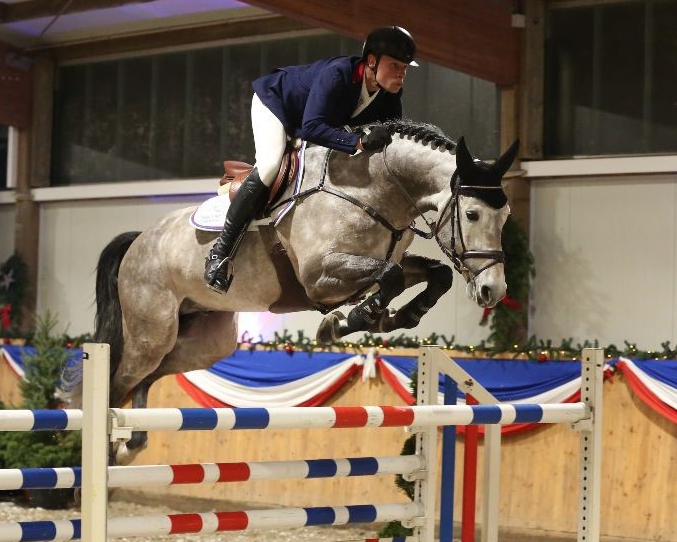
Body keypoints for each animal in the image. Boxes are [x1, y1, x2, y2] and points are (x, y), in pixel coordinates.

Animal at [87, 121, 516, 466]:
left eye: (506, 216)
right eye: (473, 214)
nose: (493, 290)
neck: (373, 188)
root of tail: (139, 240)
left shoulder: (378, 261)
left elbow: (435, 274)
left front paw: (395, 317)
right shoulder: (319, 276)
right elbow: (390, 277)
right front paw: (351, 320)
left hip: (203, 341)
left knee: (149, 377)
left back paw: (130, 445)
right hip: (152, 332)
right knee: (119, 380)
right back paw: (101, 459)